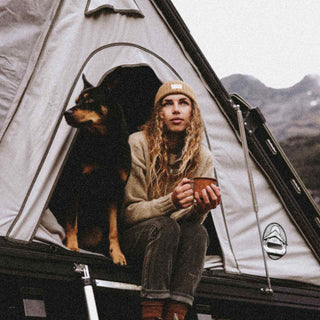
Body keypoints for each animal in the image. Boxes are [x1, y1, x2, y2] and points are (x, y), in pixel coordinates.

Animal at [50, 74, 130, 264]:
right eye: (76, 101)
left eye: (89, 101)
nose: (66, 113)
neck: (104, 142)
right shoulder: (75, 184)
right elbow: (72, 222)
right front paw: (72, 247)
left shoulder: (115, 191)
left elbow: (114, 229)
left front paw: (117, 254)